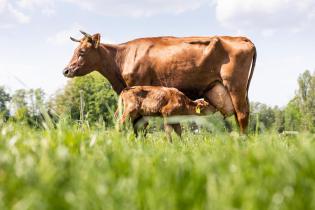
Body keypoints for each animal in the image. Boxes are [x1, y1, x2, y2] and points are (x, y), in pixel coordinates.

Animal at [63, 31, 256, 133]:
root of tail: (240, 38)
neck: (122, 58)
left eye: (81, 51)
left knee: (242, 115)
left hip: (235, 86)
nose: (66, 70)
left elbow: (140, 125)